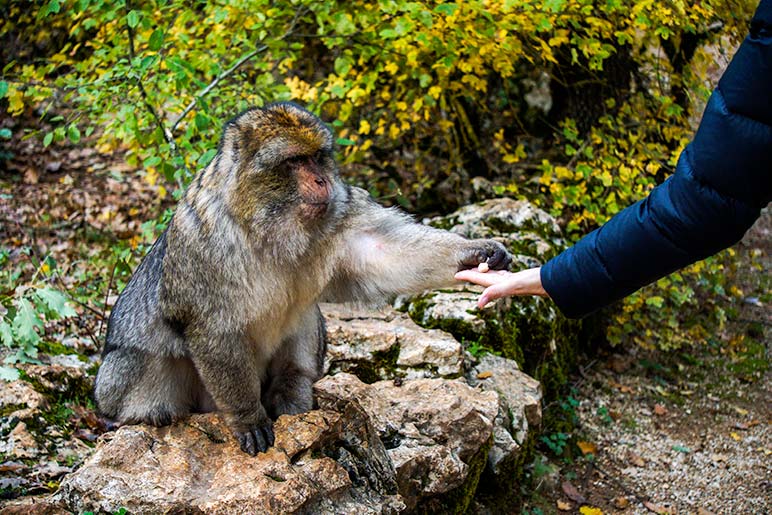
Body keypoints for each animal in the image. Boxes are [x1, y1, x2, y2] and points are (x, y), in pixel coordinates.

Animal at [93, 102, 512, 456]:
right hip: (127, 385)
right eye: (294, 161)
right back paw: (137, 416)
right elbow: (211, 325)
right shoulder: (204, 242)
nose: (321, 181)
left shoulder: (341, 209)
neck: (267, 226)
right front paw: (248, 417)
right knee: (140, 355)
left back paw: (292, 393)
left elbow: (380, 251)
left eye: (316, 157)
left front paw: (476, 251)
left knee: (307, 316)